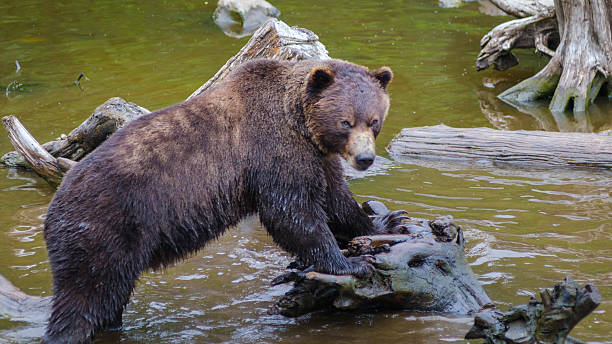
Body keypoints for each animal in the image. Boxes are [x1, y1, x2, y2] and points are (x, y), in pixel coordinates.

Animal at [41, 57, 396, 342]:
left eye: (374, 121)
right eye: (345, 121)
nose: (365, 159)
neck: (300, 124)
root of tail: (53, 207)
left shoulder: (318, 158)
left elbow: (336, 201)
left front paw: (384, 223)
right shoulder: (274, 151)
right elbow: (292, 213)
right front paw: (351, 263)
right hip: (105, 228)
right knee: (87, 296)